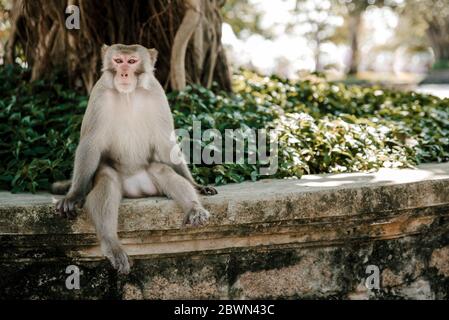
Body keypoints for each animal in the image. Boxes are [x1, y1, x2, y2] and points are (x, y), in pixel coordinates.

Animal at [52, 43, 217, 274]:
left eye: (131, 62)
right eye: (118, 60)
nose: (123, 73)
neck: (128, 94)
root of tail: (136, 187)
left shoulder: (157, 93)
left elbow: (165, 144)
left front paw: (197, 185)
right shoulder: (98, 94)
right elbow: (90, 143)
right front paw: (74, 195)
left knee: (162, 170)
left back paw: (194, 209)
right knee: (107, 179)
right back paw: (111, 243)